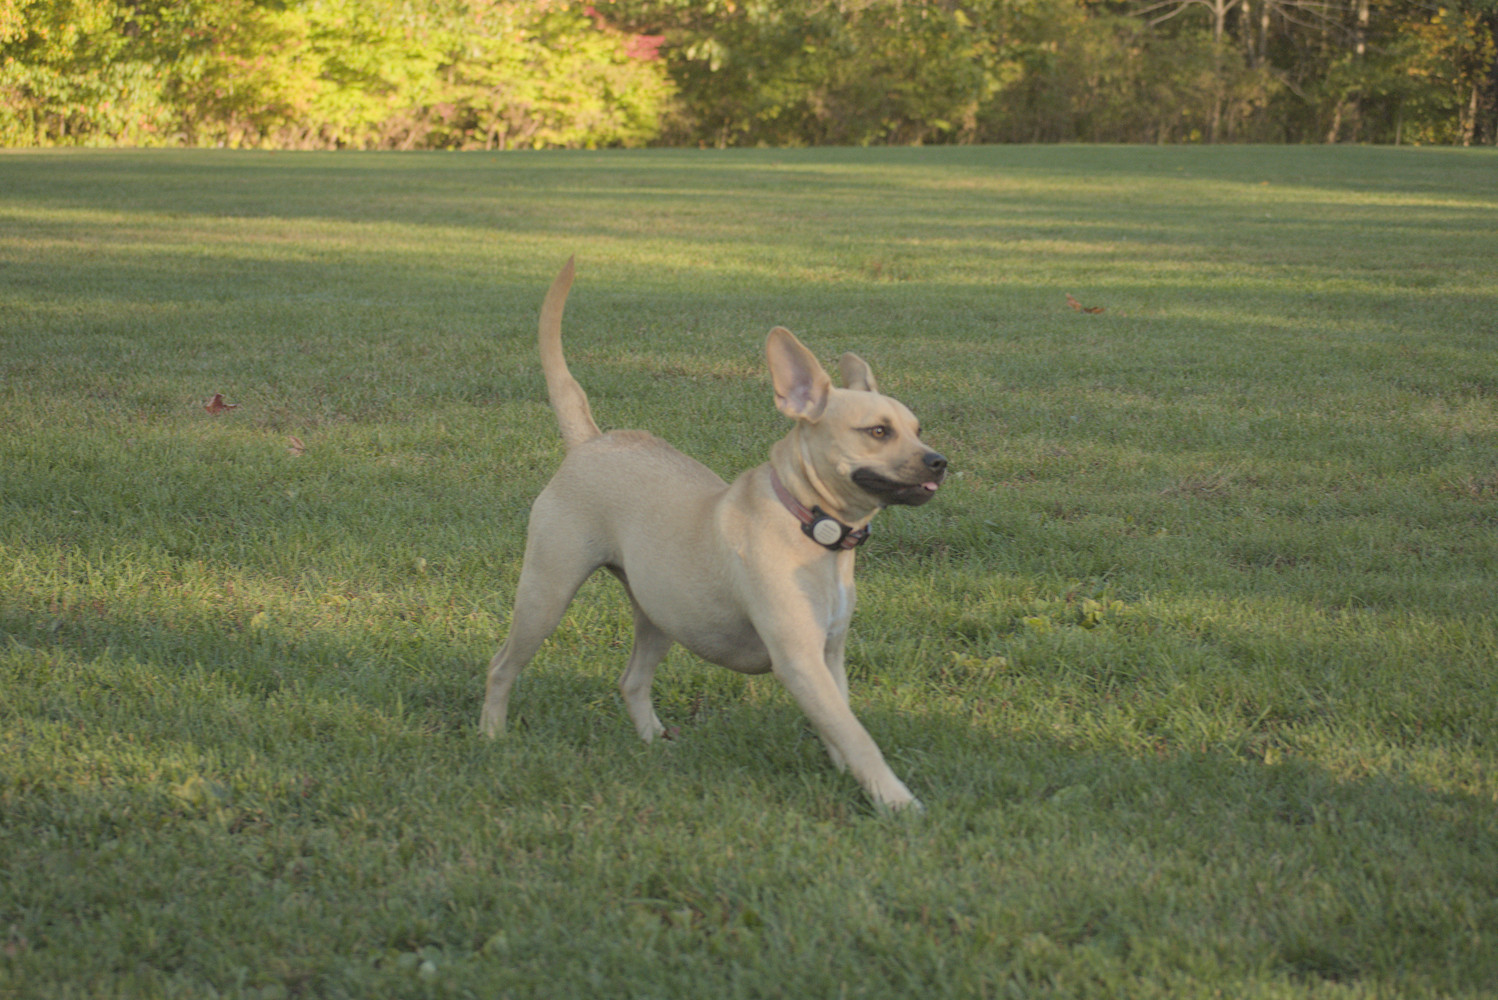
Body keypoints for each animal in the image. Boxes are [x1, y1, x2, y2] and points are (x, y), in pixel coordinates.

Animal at [481, 259, 947, 811]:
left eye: (918, 429)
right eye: (878, 432)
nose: (939, 461)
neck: (810, 525)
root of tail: (589, 442)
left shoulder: (830, 658)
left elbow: (841, 726)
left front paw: (851, 779)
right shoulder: (801, 662)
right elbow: (857, 735)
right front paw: (898, 802)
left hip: (660, 614)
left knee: (632, 681)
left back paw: (653, 742)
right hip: (545, 595)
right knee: (502, 665)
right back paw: (492, 735)